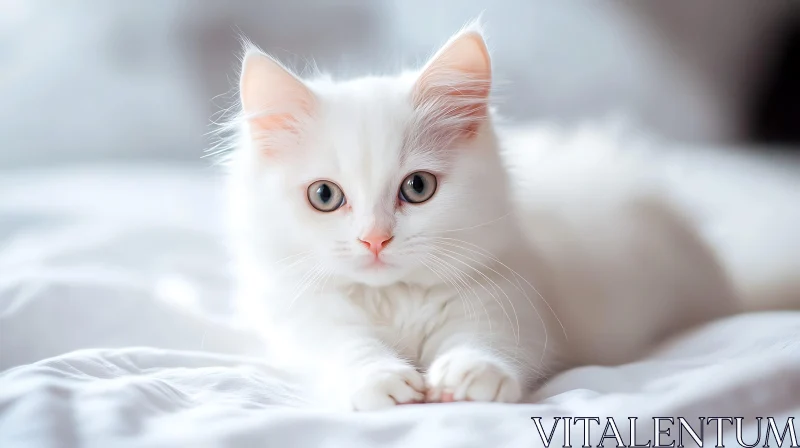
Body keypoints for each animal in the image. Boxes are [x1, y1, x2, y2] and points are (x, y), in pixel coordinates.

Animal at [223, 23, 736, 410]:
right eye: (325, 195)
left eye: (417, 188)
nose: (375, 240)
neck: (397, 297)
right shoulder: (304, 323)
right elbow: (346, 349)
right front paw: (381, 379)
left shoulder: (513, 303)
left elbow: (487, 342)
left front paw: (470, 373)